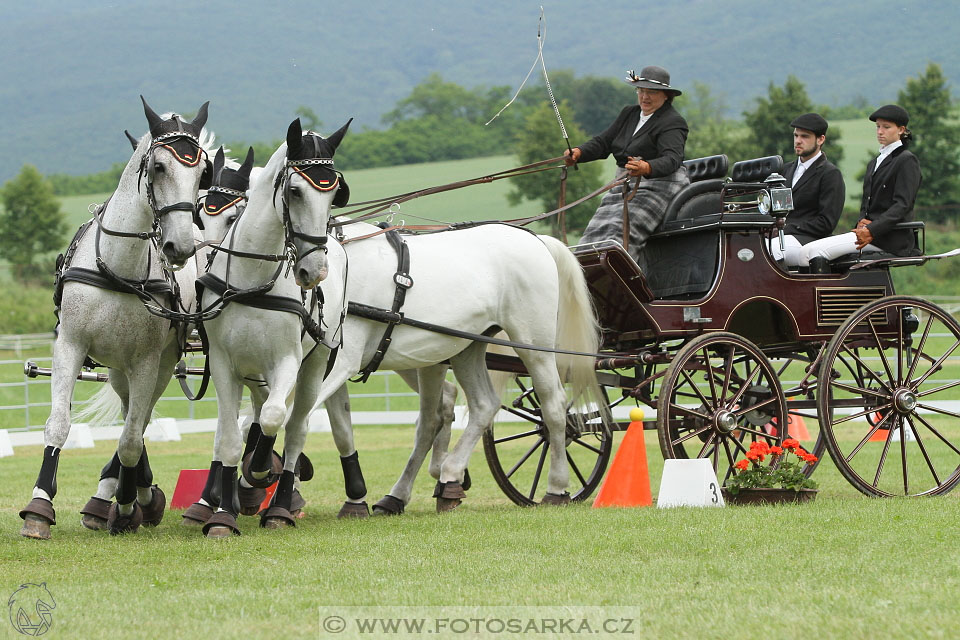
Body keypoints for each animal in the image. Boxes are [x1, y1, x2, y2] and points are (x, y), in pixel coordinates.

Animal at [19, 99, 211, 540]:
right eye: (158, 166)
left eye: (201, 173)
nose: (179, 246)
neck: (119, 269)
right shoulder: (69, 346)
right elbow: (59, 424)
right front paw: (39, 507)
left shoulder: (145, 362)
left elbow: (130, 441)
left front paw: (125, 507)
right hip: (120, 369)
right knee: (131, 417)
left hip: (158, 365)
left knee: (137, 425)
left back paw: (133, 495)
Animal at [198, 119, 348, 536]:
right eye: (294, 191)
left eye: (334, 193)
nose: (314, 272)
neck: (251, 279)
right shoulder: (223, 363)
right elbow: (229, 438)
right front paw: (223, 512)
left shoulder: (286, 361)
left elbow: (273, 418)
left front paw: (260, 472)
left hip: (315, 365)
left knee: (295, 429)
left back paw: (279, 505)